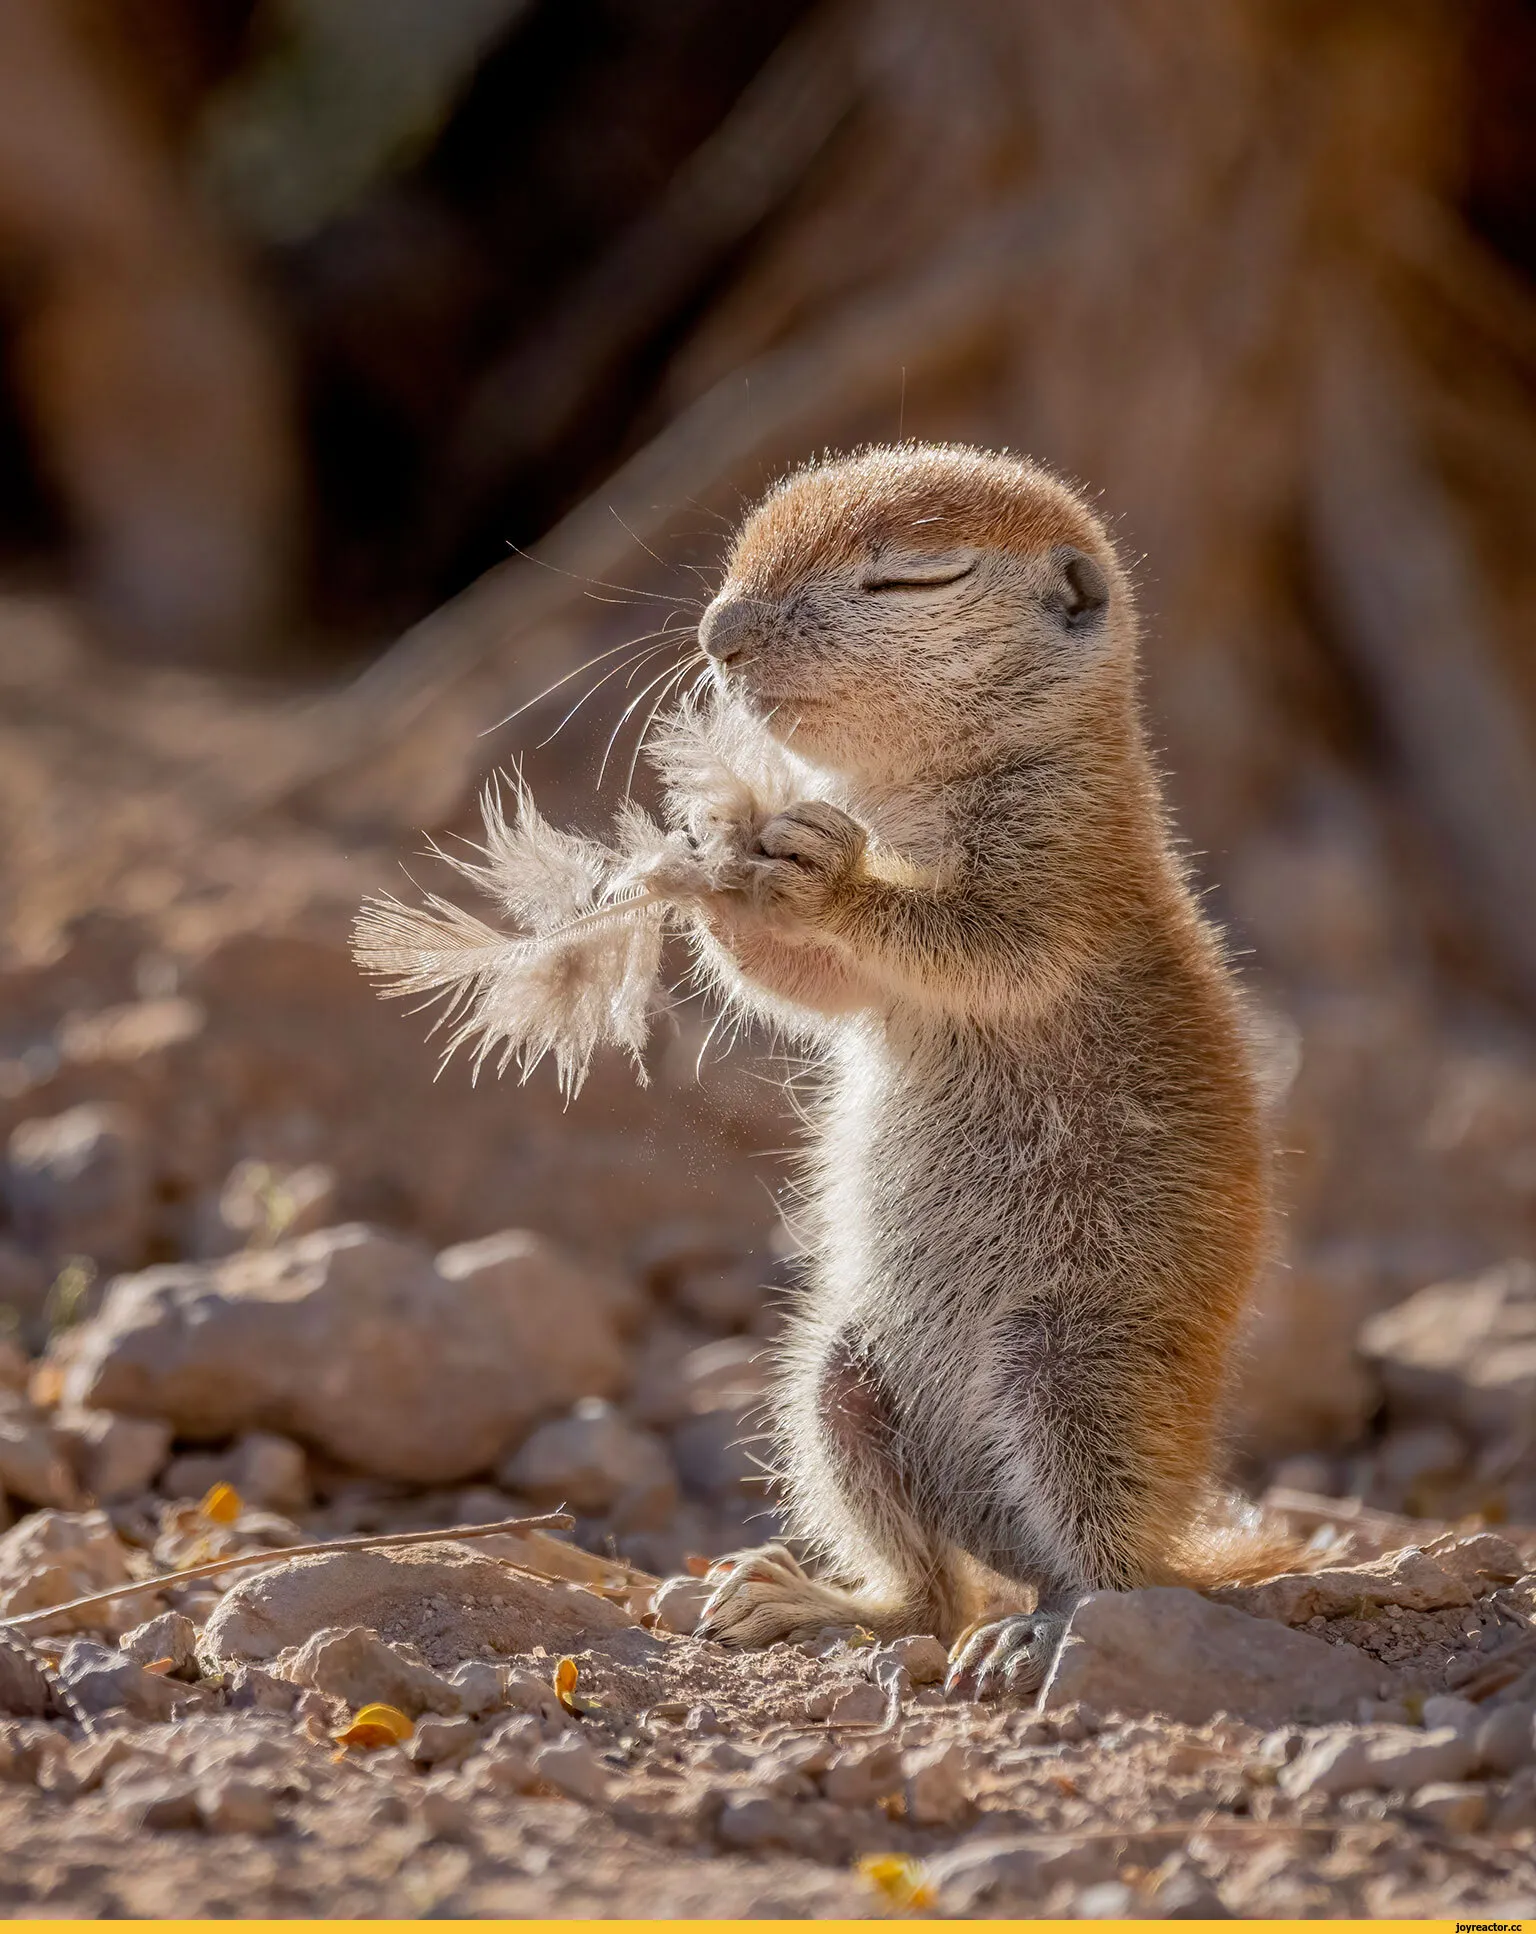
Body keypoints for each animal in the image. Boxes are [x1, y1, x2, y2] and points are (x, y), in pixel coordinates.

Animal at [642, 442, 1299, 1694]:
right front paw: (704, 851)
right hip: (841, 1375)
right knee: (930, 1592)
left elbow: (981, 944)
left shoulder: (1064, 867)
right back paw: (812, 1598)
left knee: (1111, 1574)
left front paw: (831, 876)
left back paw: (1039, 1629)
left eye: (912, 576)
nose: (718, 631)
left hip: (1072, 1369)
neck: (918, 796)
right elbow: (802, 983)